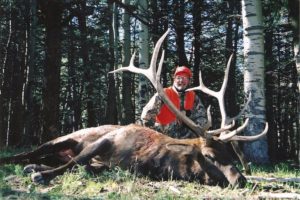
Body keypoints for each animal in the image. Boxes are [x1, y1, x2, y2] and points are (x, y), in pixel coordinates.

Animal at [0, 29, 268, 188]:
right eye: (210, 155)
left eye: (230, 155)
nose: (241, 180)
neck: (152, 159)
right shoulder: (107, 140)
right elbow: (75, 161)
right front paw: (41, 175)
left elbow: (85, 166)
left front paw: (40, 171)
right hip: (63, 138)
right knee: (28, 153)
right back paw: (19, 162)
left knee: (40, 158)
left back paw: (34, 166)